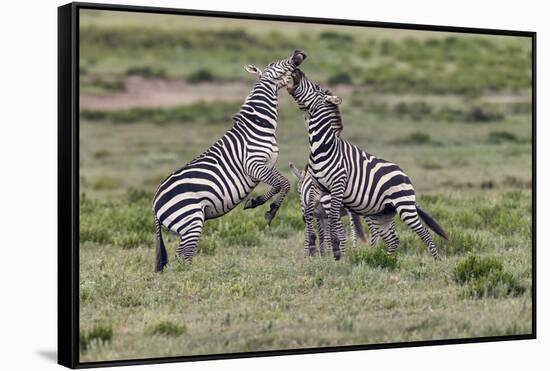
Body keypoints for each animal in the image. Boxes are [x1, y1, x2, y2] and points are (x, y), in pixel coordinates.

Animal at [152, 49, 306, 272]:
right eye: (274, 63)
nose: (298, 53)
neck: (257, 124)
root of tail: (154, 205)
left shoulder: (267, 165)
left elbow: (279, 184)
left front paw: (255, 202)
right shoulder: (253, 164)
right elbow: (283, 183)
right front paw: (269, 210)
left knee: (182, 256)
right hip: (191, 220)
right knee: (183, 256)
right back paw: (193, 277)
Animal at [286, 69, 450, 262]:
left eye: (315, 87)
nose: (297, 70)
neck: (323, 147)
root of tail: (404, 174)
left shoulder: (337, 185)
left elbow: (333, 220)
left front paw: (337, 255)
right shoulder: (317, 187)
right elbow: (312, 215)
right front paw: (320, 253)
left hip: (404, 205)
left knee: (424, 233)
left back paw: (436, 261)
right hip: (382, 213)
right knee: (393, 239)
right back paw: (387, 261)